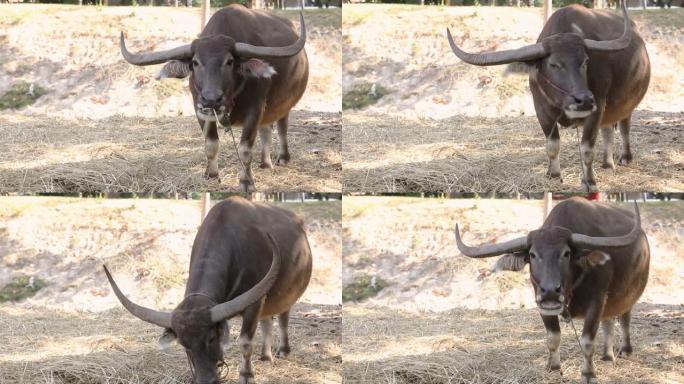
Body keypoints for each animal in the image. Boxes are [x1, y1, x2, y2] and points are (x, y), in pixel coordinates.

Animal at [103, 198, 312, 384]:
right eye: (184, 344)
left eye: (211, 338)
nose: (207, 380)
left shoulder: (254, 302)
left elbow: (245, 342)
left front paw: (246, 376)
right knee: (267, 320)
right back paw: (266, 356)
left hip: (286, 295)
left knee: (283, 317)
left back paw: (283, 350)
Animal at [119, 5, 308, 191]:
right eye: (195, 62)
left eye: (230, 61)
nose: (211, 99)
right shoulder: (200, 109)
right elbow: (211, 144)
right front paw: (211, 175)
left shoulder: (255, 110)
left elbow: (245, 149)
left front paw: (246, 181)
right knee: (266, 130)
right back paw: (266, 163)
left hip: (284, 105)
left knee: (282, 127)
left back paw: (283, 157)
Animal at [446, 3, 648, 192]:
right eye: (554, 64)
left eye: (585, 61)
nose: (583, 100)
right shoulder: (541, 109)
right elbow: (552, 145)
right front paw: (554, 175)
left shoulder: (596, 106)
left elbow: (587, 149)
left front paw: (589, 181)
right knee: (608, 129)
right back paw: (607, 163)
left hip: (626, 104)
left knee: (624, 127)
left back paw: (625, 158)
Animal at [454, 198, 648, 384]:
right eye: (532, 254)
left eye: (566, 253)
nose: (550, 291)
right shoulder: (542, 304)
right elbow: (553, 337)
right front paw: (553, 368)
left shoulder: (597, 301)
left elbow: (587, 341)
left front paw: (588, 373)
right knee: (609, 321)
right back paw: (607, 356)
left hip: (628, 296)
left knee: (624, 319)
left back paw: (625, 350)